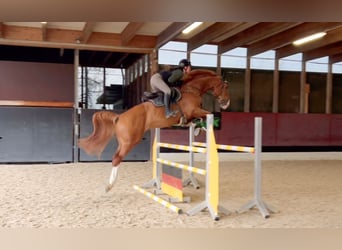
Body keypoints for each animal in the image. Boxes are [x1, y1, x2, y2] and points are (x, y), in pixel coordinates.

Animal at [78, 69, 230, 192]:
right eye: (225, 86)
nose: (226, 104)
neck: (192, 89)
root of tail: (119, 117)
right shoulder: (193, 111)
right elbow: (209, 114)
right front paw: (202, 128)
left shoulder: (192, 115)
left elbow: (196, 121)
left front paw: (198, 129)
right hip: (130, 141)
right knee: (117, 158)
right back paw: (109, 186)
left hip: (124, 141)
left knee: (115, 156)